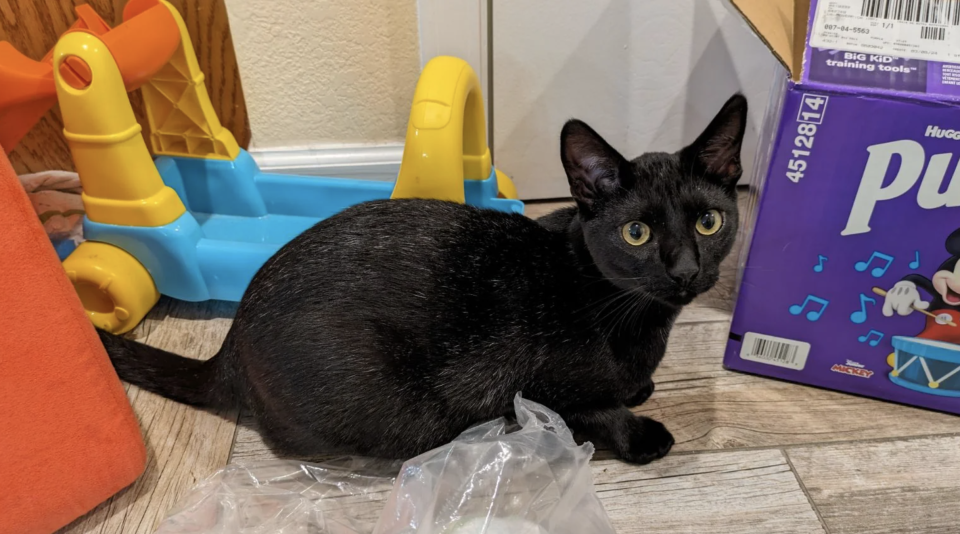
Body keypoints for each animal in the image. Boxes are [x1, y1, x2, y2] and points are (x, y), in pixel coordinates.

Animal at [103, 95, 752, 464]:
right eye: (636, 233)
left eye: (709, 221)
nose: (686, 270)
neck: (635, 315)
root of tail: (231, 340)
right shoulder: (534, 390)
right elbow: (597, 413)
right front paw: (641, 430)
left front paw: (639, 387)